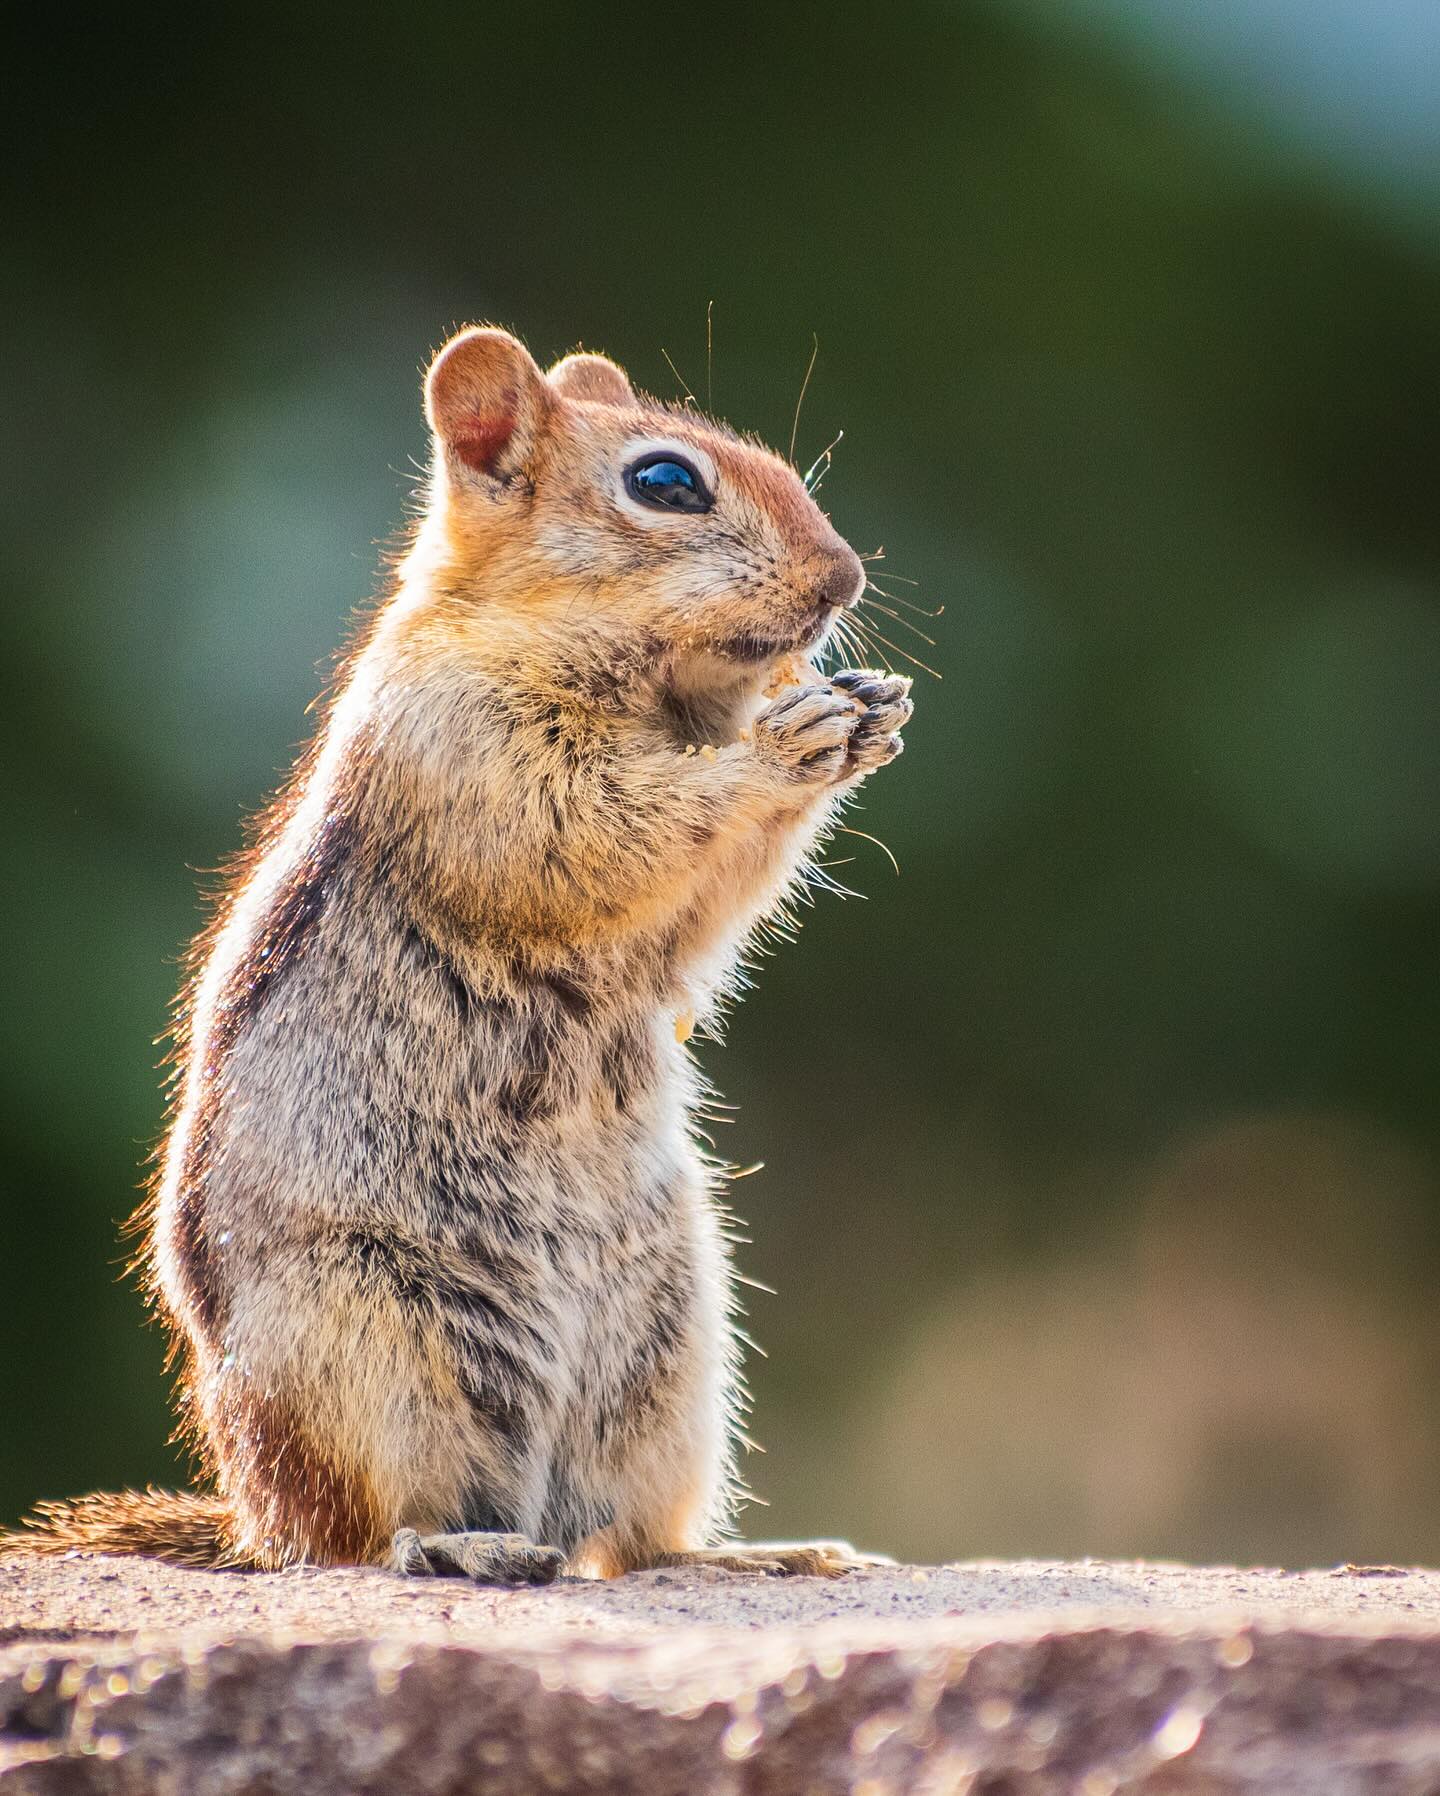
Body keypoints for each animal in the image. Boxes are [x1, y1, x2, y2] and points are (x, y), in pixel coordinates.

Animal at [3, 327, 913, 1583]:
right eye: (666, 481)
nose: (845, 579)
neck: (650, 692)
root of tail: (250, 1524)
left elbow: (702, 910)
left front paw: (868, 709)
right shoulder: (466, 745)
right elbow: (598, 832)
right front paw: (789, 738)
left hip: (677, 1348)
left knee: (630, 1538)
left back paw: (754, 1553)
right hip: (372, 1350)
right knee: (367, 1535)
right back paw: (460, 1545)